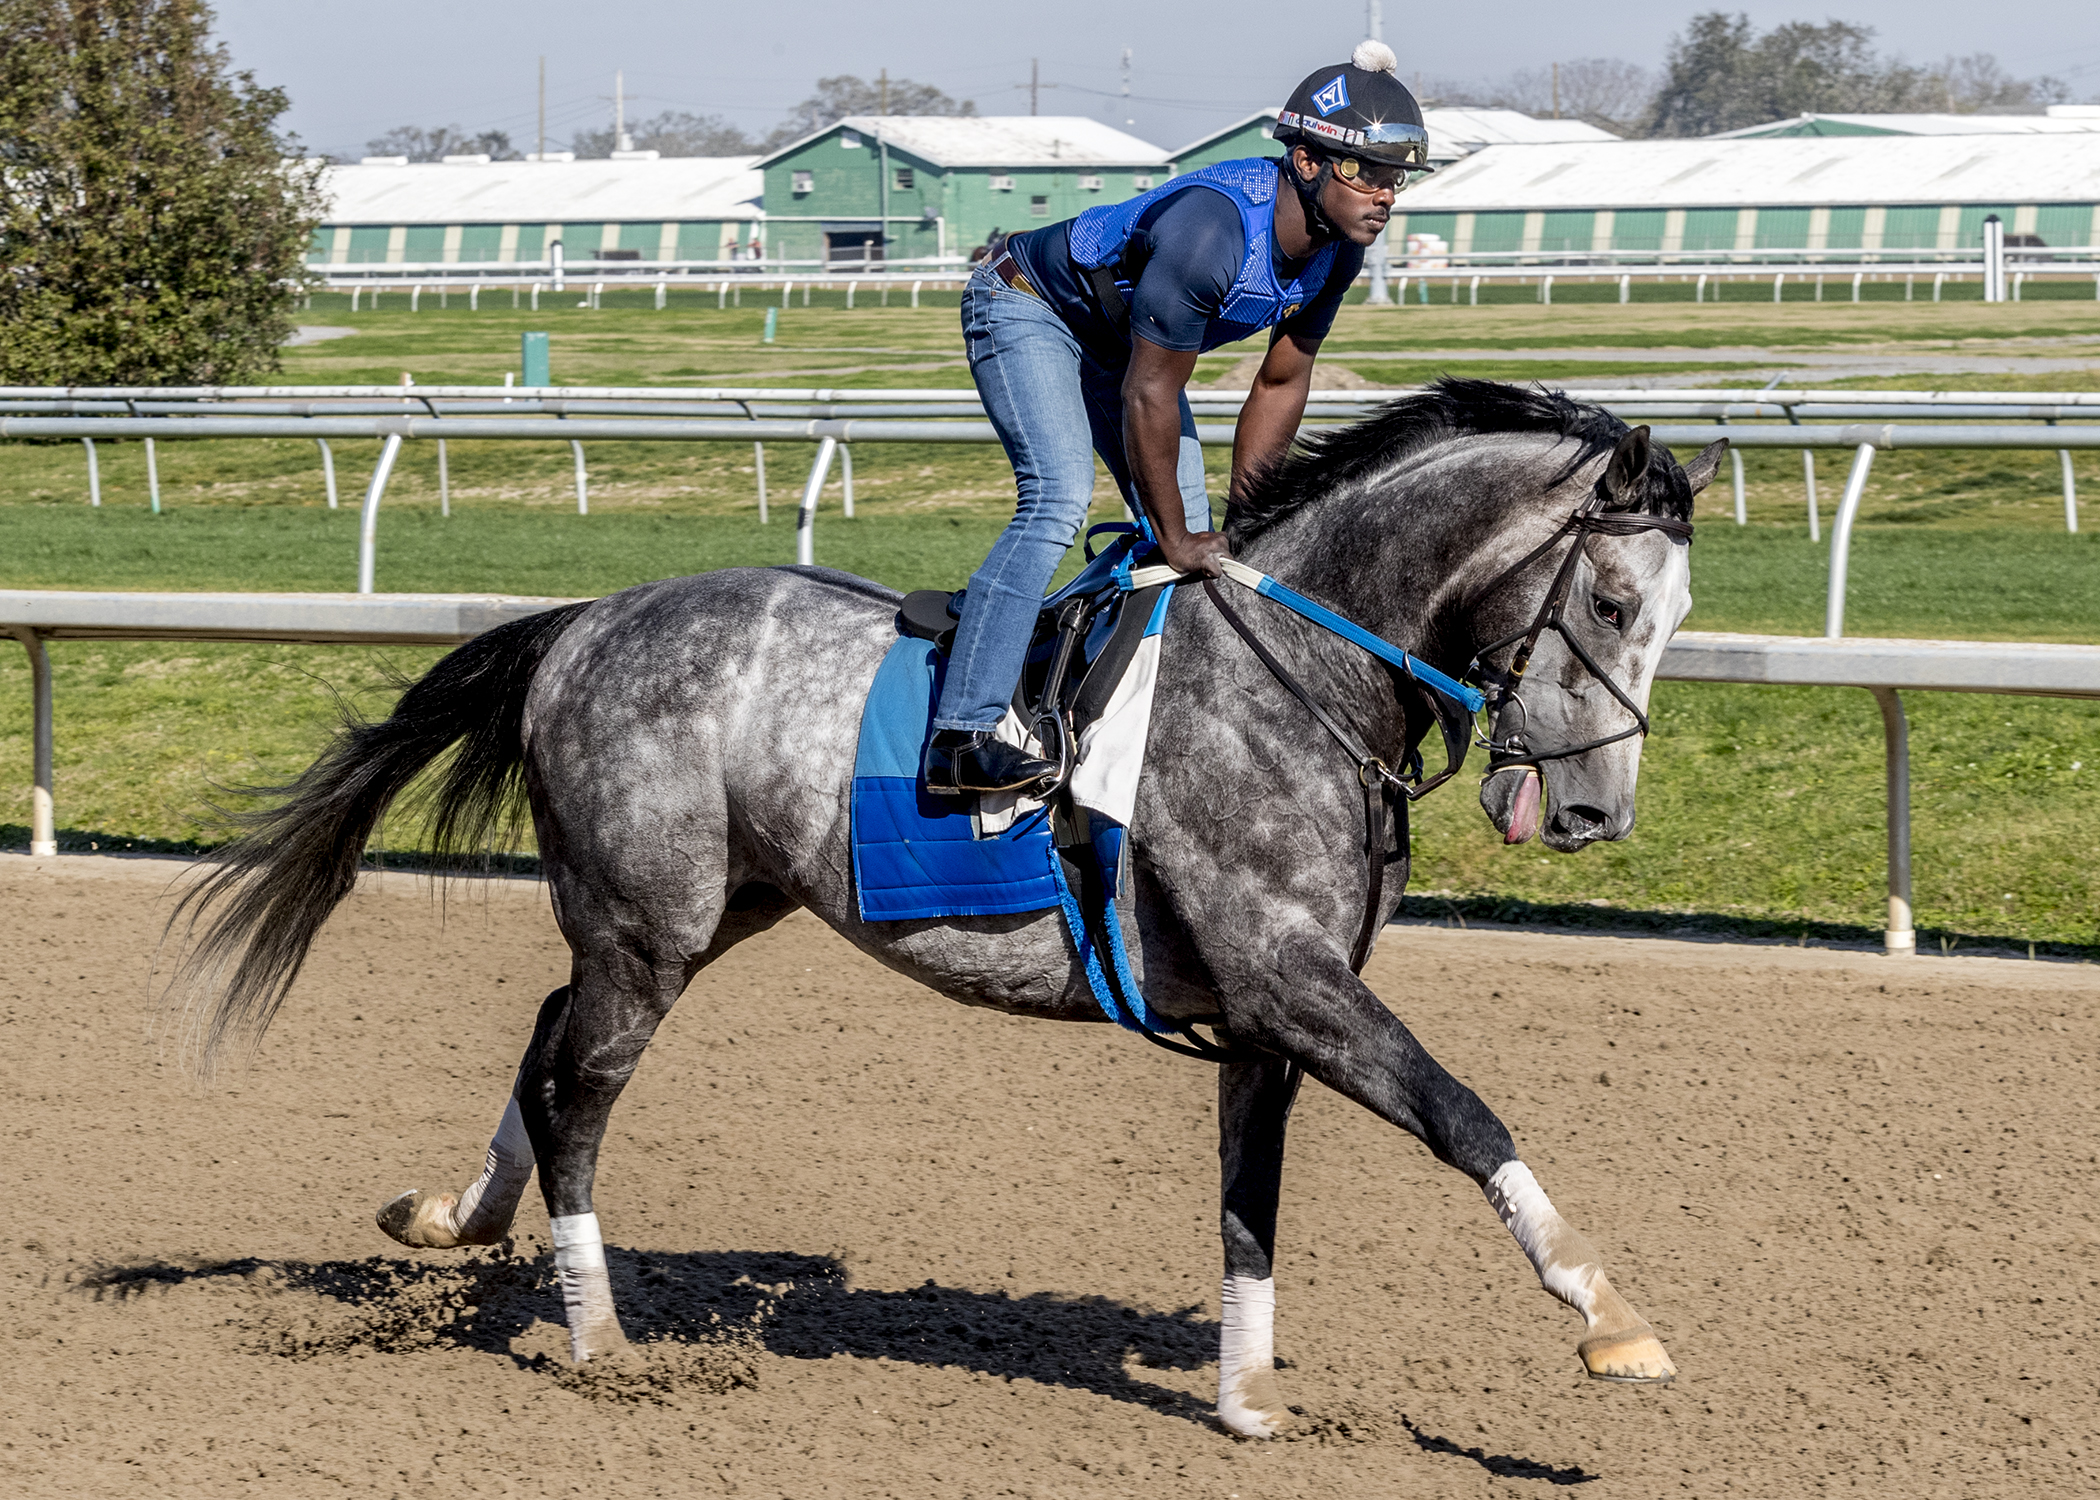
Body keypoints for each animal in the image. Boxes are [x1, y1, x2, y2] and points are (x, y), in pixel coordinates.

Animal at [172, 376, 1721, 1436]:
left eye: (1677, 614)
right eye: (1613, 601)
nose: (1596, 814)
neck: (1298, 672)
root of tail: (582, 623)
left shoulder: (1269, 1013)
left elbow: (1248, 1204)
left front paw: (1243, 1398)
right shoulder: (1293, 980)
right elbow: (1465, 1114)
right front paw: (1610, 1315)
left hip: (706, 910)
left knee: (550, 1034)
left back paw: (453, 1216)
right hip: (648, 924)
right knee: (580, 1092)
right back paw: (600, 1340)